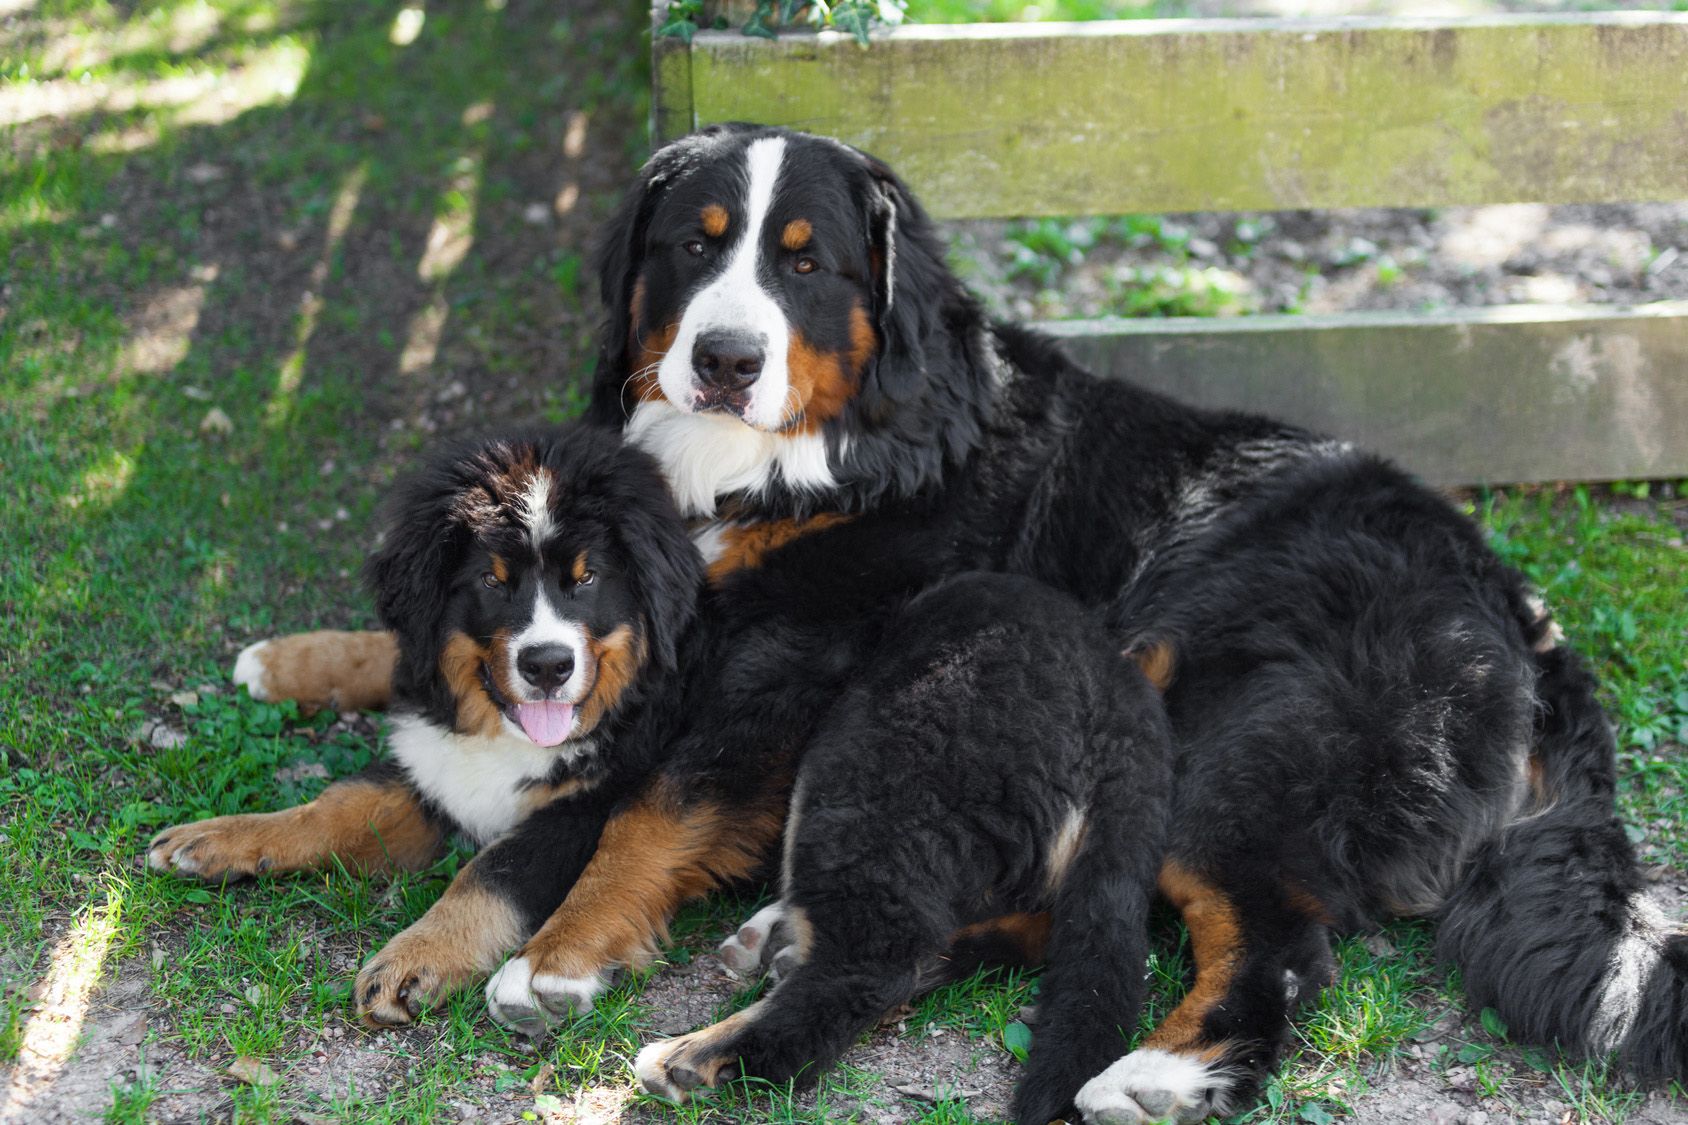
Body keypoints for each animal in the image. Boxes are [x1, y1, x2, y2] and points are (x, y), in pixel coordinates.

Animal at [145, 425, 698, 1020]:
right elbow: (337, 807)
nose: (548, 665)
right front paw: (217, 837)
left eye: (588, 577)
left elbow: (491, 873)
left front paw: (415, 957)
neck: (505, 734)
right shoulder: (433, 772)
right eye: (492, 582)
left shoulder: (581, 811)